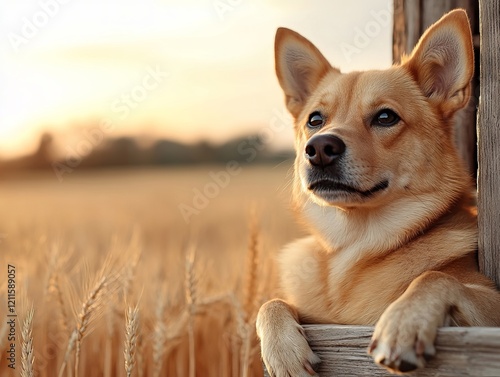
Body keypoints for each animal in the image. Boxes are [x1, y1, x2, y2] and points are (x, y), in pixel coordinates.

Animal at [256, 9, 500, 376]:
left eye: (385, 117)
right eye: (315, 120)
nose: (320, 148)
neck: (355, 244)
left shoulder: (490, 304)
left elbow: (434, 277)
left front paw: (403, 323)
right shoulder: (322, 318)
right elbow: (270, 302)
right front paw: (283, 351)